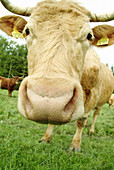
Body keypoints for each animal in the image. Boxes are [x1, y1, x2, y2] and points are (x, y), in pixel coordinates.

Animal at [0, 0, 114, 151]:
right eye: (27, 31)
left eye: (89, 36)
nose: (47, 101)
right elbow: (52, 119)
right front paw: (46, 138)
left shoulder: (93, 95)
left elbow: (81, 120)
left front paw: (75, 145)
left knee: (94, 115)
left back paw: (90, 130)